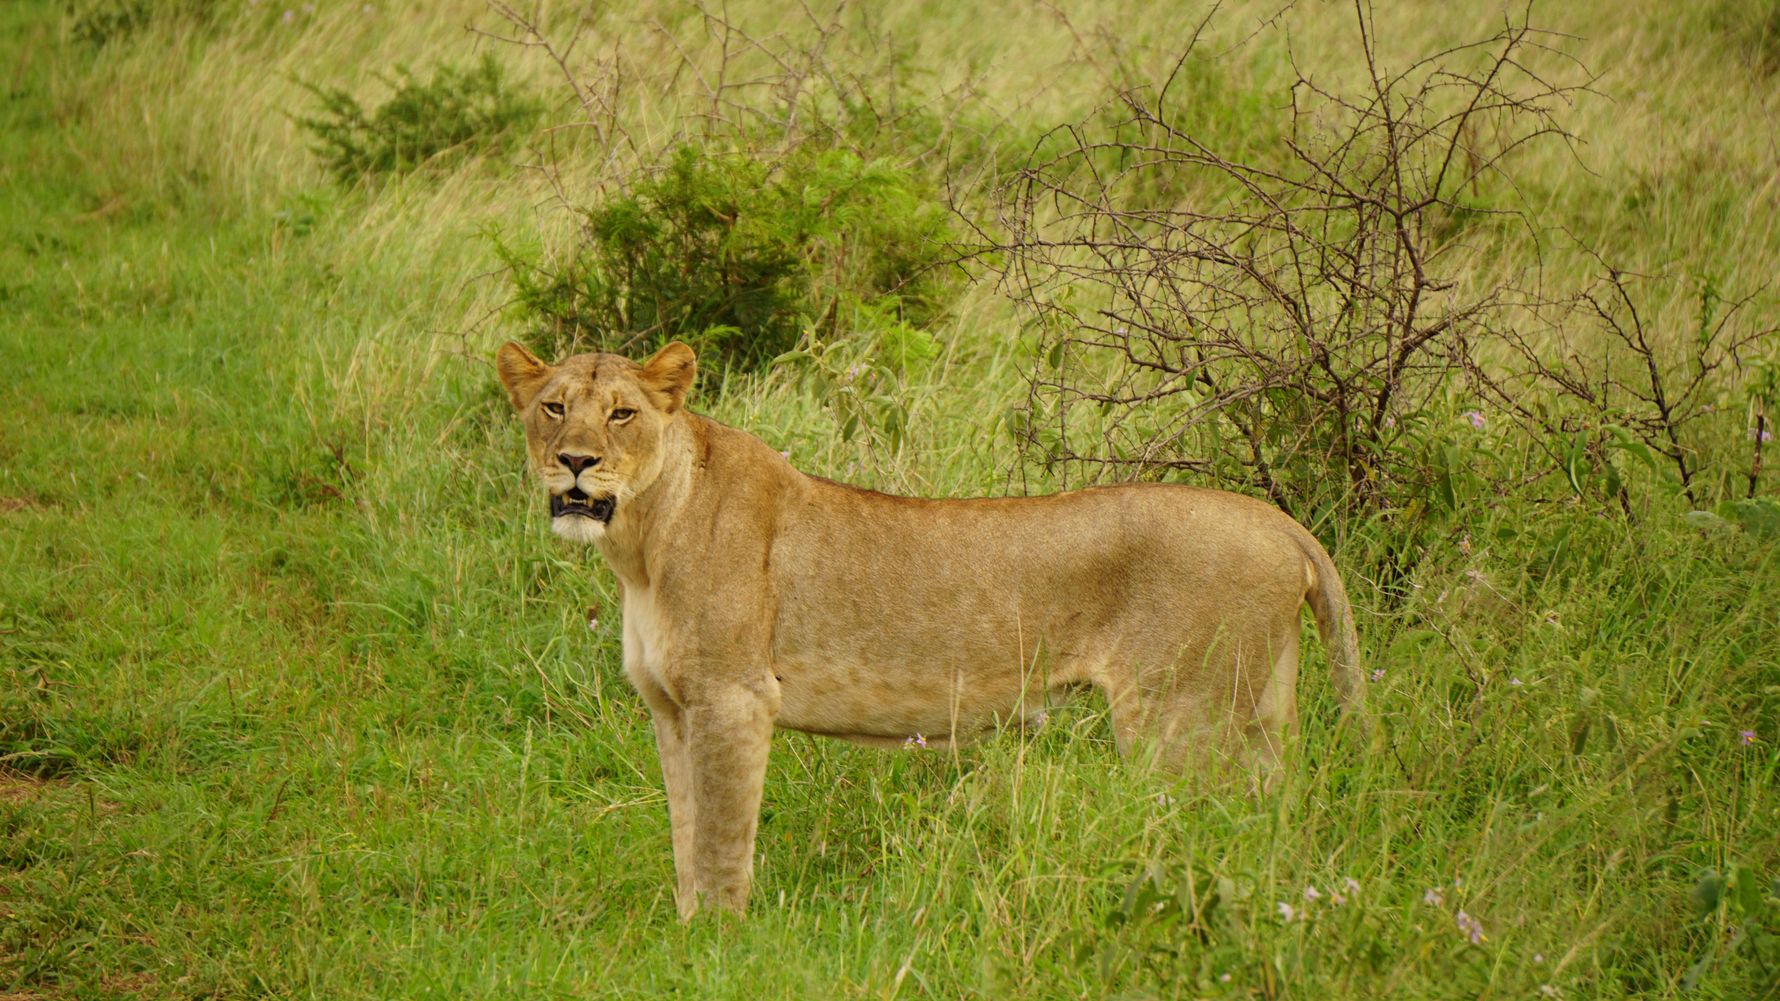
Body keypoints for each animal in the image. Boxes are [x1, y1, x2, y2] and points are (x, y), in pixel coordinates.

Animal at [496, 339, 1365, 917]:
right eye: (552, 407)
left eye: (622, 413)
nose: (575, 461)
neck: (640, 543)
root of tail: (1281, 521)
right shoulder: (672, 708)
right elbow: (685, 829)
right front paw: (687, 930)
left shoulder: (734, 697)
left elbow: (719, 834)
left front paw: (718, 940)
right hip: (1261, 714)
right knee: (1278, 813)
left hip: (1180, 724)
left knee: (1216, 827)